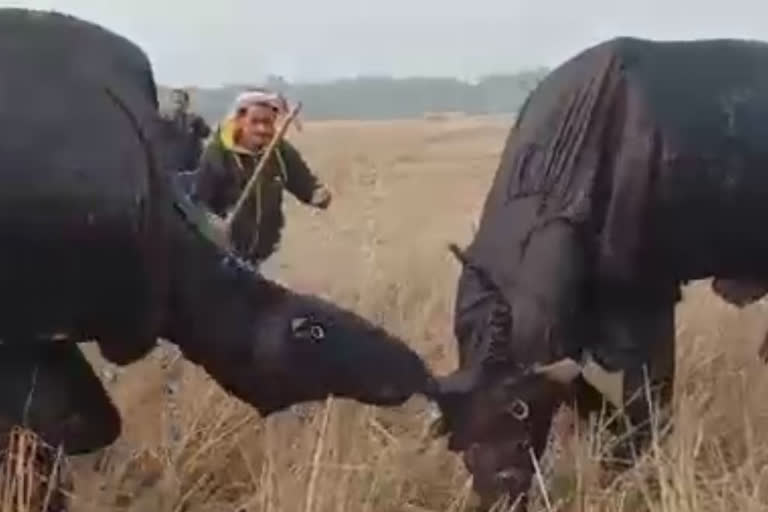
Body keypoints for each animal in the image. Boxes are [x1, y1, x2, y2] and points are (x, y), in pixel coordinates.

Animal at [432, 36, 768, 508]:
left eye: (517, 416)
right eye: (461, 442)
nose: (501, 495)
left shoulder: (647, 307)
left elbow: (647, 408)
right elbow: (594, 403)